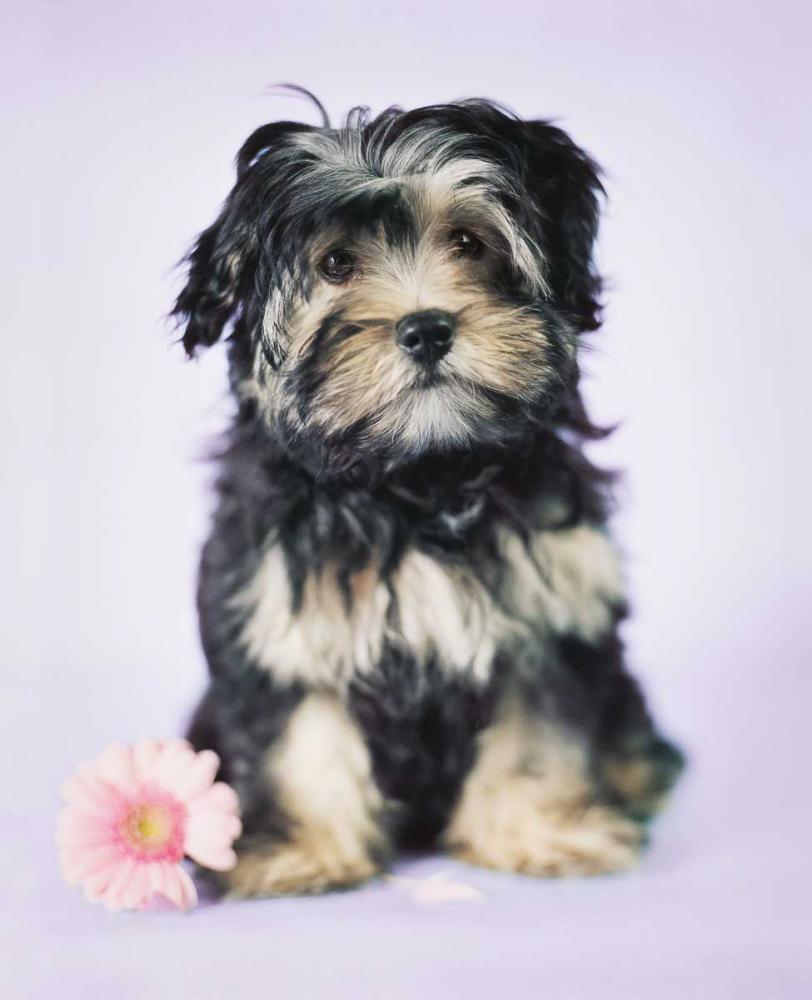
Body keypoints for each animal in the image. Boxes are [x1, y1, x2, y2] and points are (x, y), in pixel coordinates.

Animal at [173, 95, 683, 897]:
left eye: (469, 242)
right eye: (336, 264)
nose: (426, 328)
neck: (418, 478)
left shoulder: (544, 612)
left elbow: (535, 736)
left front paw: (542, 833)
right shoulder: (282, 616)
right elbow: (302, 740)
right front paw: (303, 853)